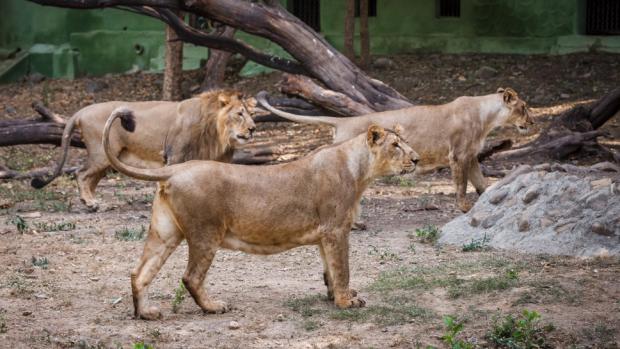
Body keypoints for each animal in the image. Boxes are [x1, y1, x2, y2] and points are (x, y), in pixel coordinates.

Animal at [29, 89, 254, 209]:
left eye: (251, 114)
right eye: (239, 114)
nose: (253, 129)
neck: (216, 133)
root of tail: (82, 111)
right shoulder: (175, 156)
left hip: (109, 157)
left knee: (90, 178)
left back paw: (95, 202)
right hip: (101, 153)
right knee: (81, 173)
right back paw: (91, 203)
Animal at [103, 108, 422, 318]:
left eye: (406, 144)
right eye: (396, 145)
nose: (417, 159)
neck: (359, 169)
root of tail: (175, 169)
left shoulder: (325, 234)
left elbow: (329, 270)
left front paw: (335, 296)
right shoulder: (336, 229)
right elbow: (342, 268)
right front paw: (346, 302)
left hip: (165, 233)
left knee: (139, 272)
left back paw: (145, 313)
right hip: (206, 233)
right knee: (190, 277)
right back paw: (214, 307)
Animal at [256, 88, 532, 211]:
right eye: (524, 107)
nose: (532, 122)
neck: (487, 117)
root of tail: (342, 121)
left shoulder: (472, 156)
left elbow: (481, 183)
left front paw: (485, 201)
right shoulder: (459, 155)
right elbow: (462, 184)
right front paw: (464, 207)